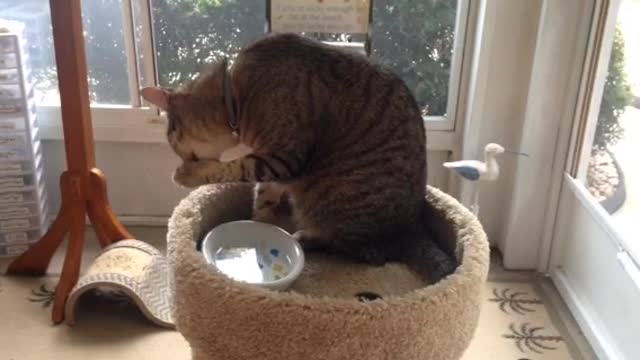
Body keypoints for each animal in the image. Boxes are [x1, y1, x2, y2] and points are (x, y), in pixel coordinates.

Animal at [142, 33, 458, 282]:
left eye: (171, 134)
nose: (177, 153)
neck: (236, 96)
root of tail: (413, 229)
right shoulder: (275, 168)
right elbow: (263, 198)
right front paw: (259, 226)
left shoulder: (282, 159)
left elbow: (235, 167)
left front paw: (187, 174)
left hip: (335, 198)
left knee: (366, 252)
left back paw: (306, 237)